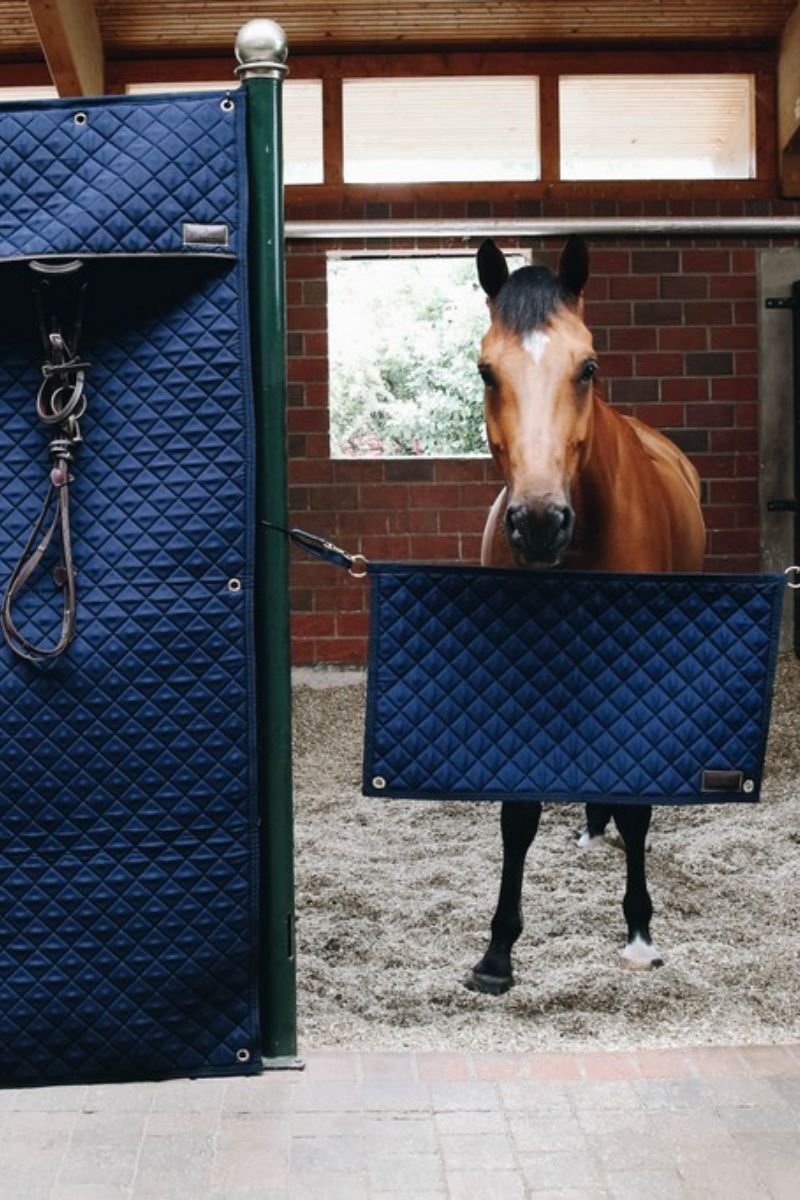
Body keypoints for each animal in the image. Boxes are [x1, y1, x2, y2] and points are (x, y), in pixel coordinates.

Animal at [467, 236, 706, 995]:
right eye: (487, 369)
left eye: (588, 366)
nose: (541, 523)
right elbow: (518, 811)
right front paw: (498, 953)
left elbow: (636, 802)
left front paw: (639, 931)